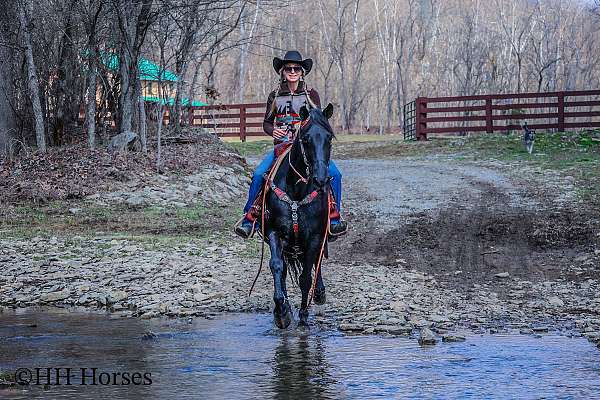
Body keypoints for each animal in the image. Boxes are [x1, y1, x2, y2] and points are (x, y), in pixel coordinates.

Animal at [262, 103, 336, 328]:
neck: (296, 191)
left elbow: (305, 278)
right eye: (306, 139)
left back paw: (319, 293)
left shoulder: (314, 237)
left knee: (315, 265)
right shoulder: (275, 232)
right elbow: (277, 267)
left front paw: (303, 315)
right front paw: (282, 312)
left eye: (329, 138)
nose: (321, 180)